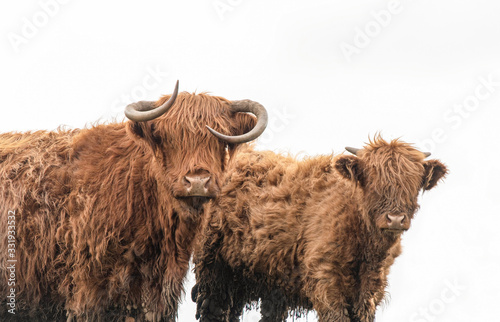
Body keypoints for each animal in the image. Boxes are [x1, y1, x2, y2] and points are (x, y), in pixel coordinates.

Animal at [193, 137, 448, 322]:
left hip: (265, 283)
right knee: (214, 311)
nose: (395, 219)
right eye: (372, 181)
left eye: (413, 183)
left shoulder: (370, 292)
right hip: (213, 270)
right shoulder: (325, 280)